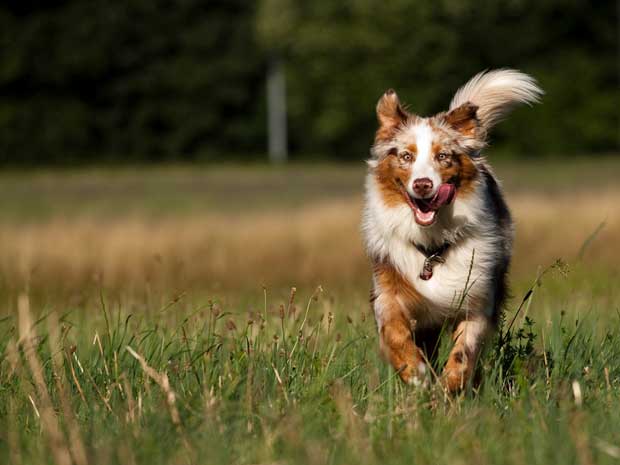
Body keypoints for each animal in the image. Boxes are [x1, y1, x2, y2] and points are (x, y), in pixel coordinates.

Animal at [364, 69, 544, 392]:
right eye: (406, 157)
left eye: (443, 156)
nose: (423, 184)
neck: (432, 245)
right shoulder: (389, 291)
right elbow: (395, 333)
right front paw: (416, 374)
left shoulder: (478, 297)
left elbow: (465, 350)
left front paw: (451, 386)